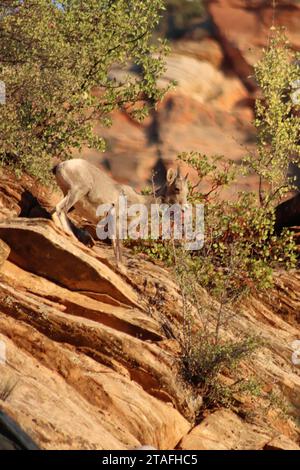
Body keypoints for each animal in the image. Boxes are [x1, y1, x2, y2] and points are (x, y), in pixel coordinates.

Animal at [51, 160, 188, 264]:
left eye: (186, 191)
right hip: (77, 192)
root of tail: (61, 165)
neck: (141, 201)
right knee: (60, 209)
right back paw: (69, 235)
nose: (185, 209)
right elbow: (117, 244)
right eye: (177, 189)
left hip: (70, 196)